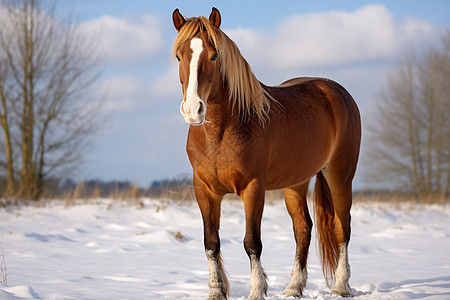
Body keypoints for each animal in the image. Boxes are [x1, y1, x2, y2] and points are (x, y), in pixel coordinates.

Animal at [172, 7, 362, 300]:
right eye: (179, 56)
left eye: (214, 55)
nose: (193, 109)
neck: (221, 132)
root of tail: (336, 92)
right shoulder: (204, 190)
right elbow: (211, 242)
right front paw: (216, 292)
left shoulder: (253, 188)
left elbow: (252, 242)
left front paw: (256, 290)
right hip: (296, 183)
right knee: (303, 229)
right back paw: (294, 287)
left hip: (340, 176)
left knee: (343, 228)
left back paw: (341, 286)